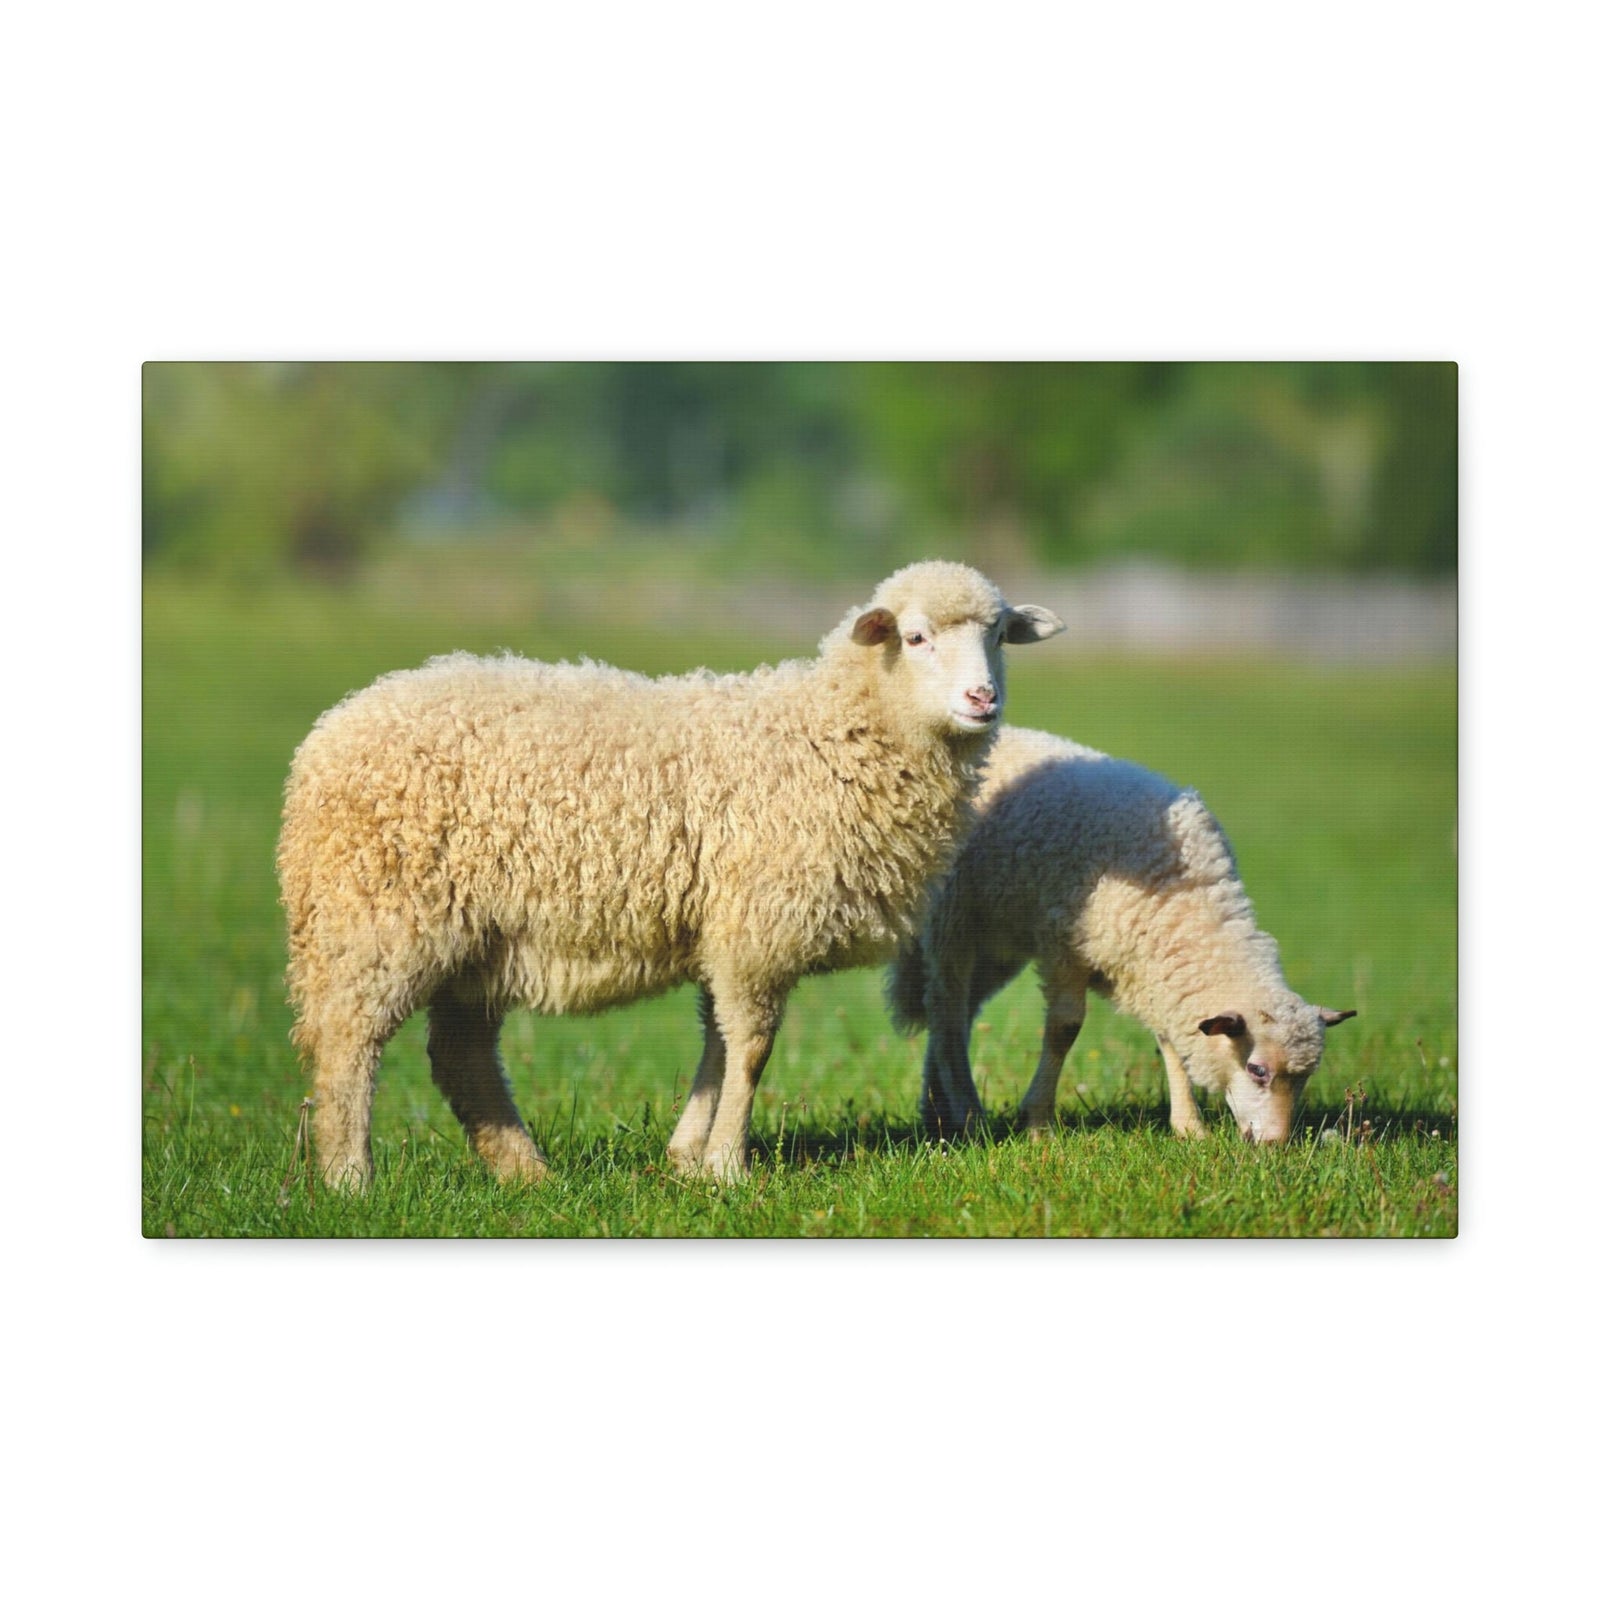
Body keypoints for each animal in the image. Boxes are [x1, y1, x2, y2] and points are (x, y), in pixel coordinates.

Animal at [276, 562, 1064, 1188]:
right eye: (917, 637)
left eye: (999, 635)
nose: (982, 700)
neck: (833, 735)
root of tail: (325, 738)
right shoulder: (756, 925)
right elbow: (752, 1048)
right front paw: (727, 1166)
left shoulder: (728, 926)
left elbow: (718, 1040)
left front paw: (688, 1155)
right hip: (377, 916)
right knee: (348, 1043)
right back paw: (350, 1178)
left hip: (479, 939)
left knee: (460, 1055)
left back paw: (525, 1174)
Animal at [887, 726, 1356, 1144]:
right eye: (1257, 1070)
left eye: (1305, 1077)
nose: (1274, 1144)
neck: (1186, 900)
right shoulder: (1065, 947)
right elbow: (1064, 1029)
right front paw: (1037, 1122)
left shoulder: (1153, 967)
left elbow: (1170, 1041)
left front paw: (1189, 1128)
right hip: (953, 919)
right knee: (947, 1011)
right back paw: (967, 1114)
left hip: (997, 943)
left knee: (956, 1013)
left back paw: (938, 1111)